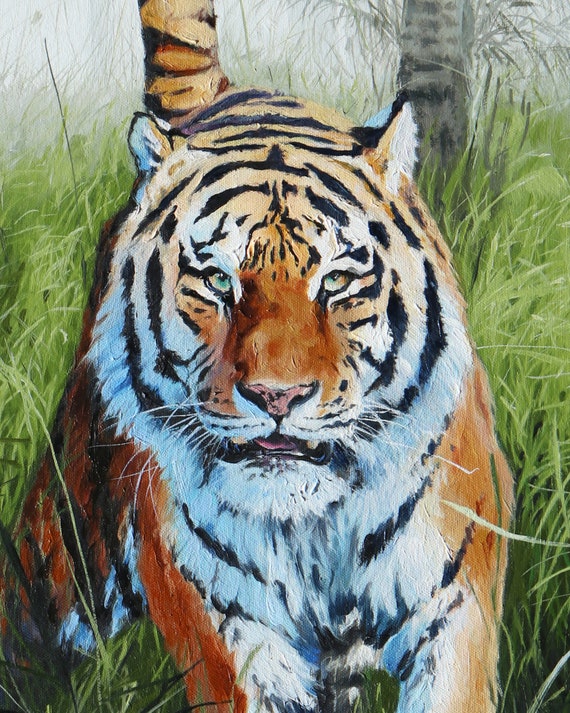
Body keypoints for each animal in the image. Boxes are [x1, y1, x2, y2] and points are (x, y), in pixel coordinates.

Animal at [1, 1, 514, 711]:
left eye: (336, 280)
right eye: (217, 281)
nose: (278, 396)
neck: (313, 526)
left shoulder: (454, 601)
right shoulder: (225, 625)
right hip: (66, 538)